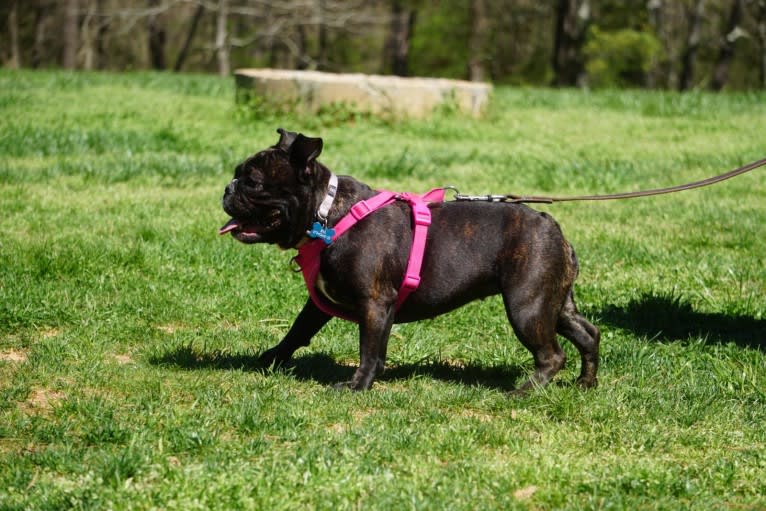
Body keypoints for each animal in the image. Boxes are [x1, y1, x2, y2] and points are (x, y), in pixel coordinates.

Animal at [222, 128, 600, 392]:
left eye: (253, 182)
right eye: (238, 174)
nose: (228, 188)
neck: (327, 213)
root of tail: (551, 225)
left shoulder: (375, 303)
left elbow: (369, 348)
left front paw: (357, 385)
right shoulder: (320, 303)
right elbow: (298, 330)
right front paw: (271, 359)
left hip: (526, 306)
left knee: (552, 354)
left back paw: (525, 392)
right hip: (553, 303)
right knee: (588, 333)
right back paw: (585, 383)